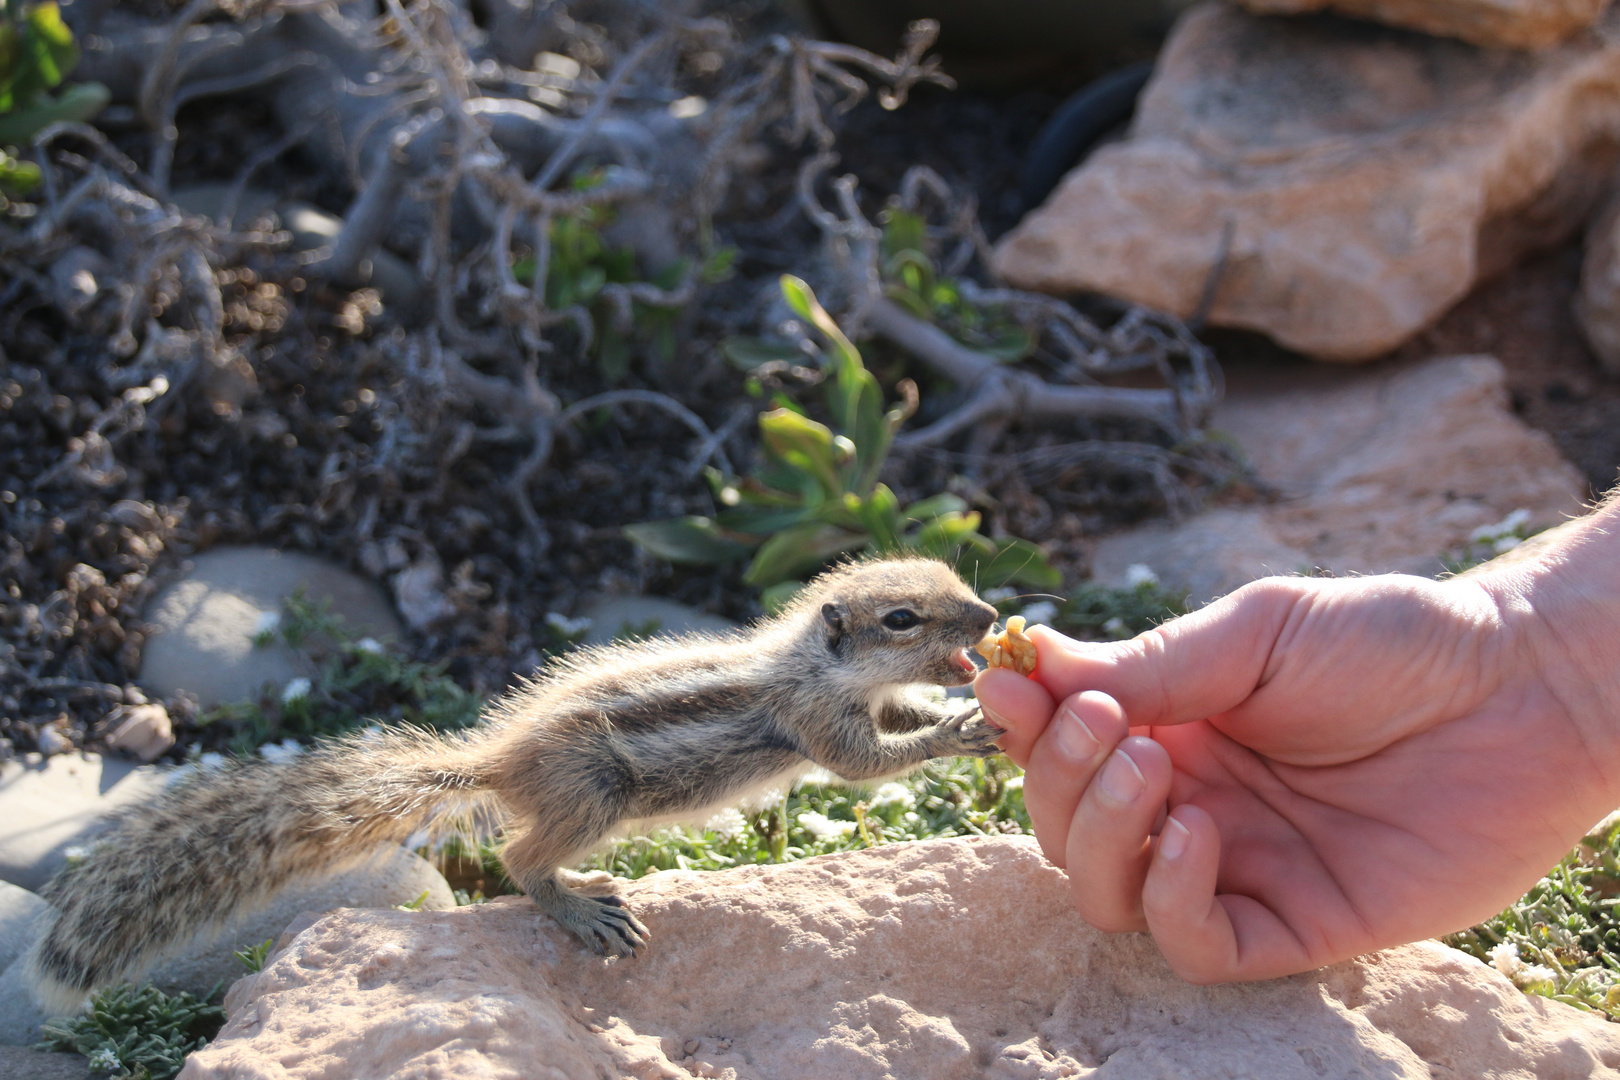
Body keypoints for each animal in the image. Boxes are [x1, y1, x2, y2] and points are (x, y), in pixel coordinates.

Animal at [28, 557, 997, 1016]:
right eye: (902, 618)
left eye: (957, 581)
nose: (991, 617)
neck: (815, 665)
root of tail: (502, 761)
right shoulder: (817, 723)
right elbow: (868, 764)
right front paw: (961, 729)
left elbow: (897, 722)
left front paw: (963, 708)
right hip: (597, 796)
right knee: (517, 856)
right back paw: (581, 909)